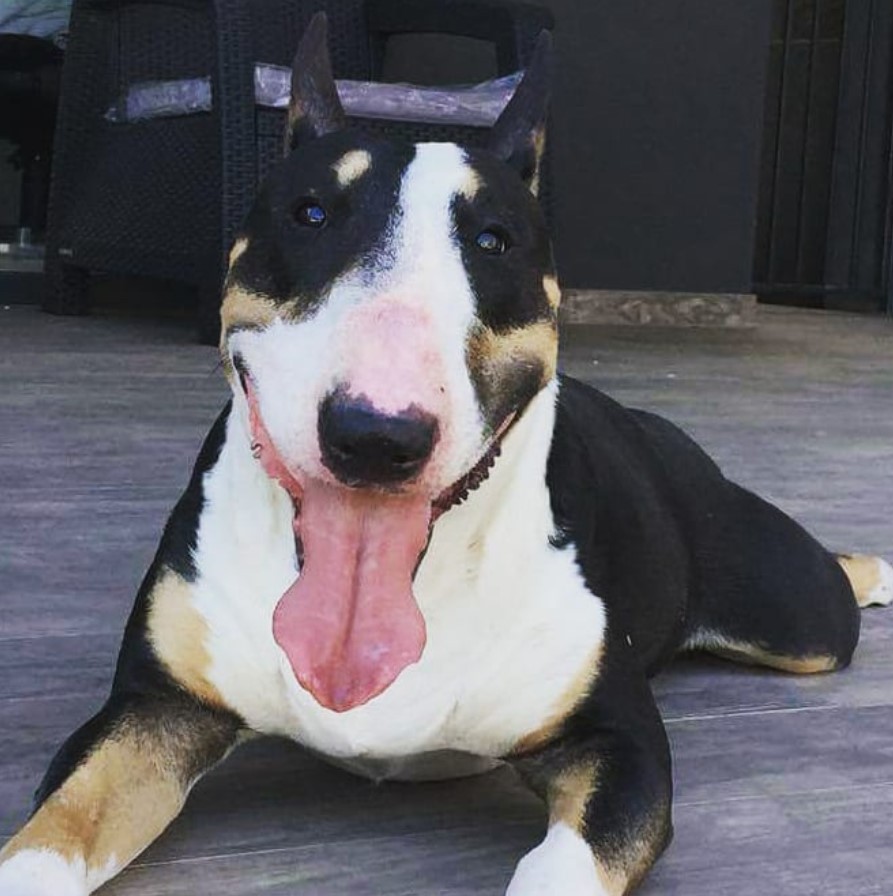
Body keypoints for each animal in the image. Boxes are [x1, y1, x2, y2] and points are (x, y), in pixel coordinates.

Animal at [3, 15, 888, 896]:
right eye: (310, 213)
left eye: (494, 240)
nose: (376, 435)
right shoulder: (152, 710)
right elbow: (55, 832)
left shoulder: (621, 743)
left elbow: (564, 861)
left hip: (795, 616)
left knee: (829, 589)